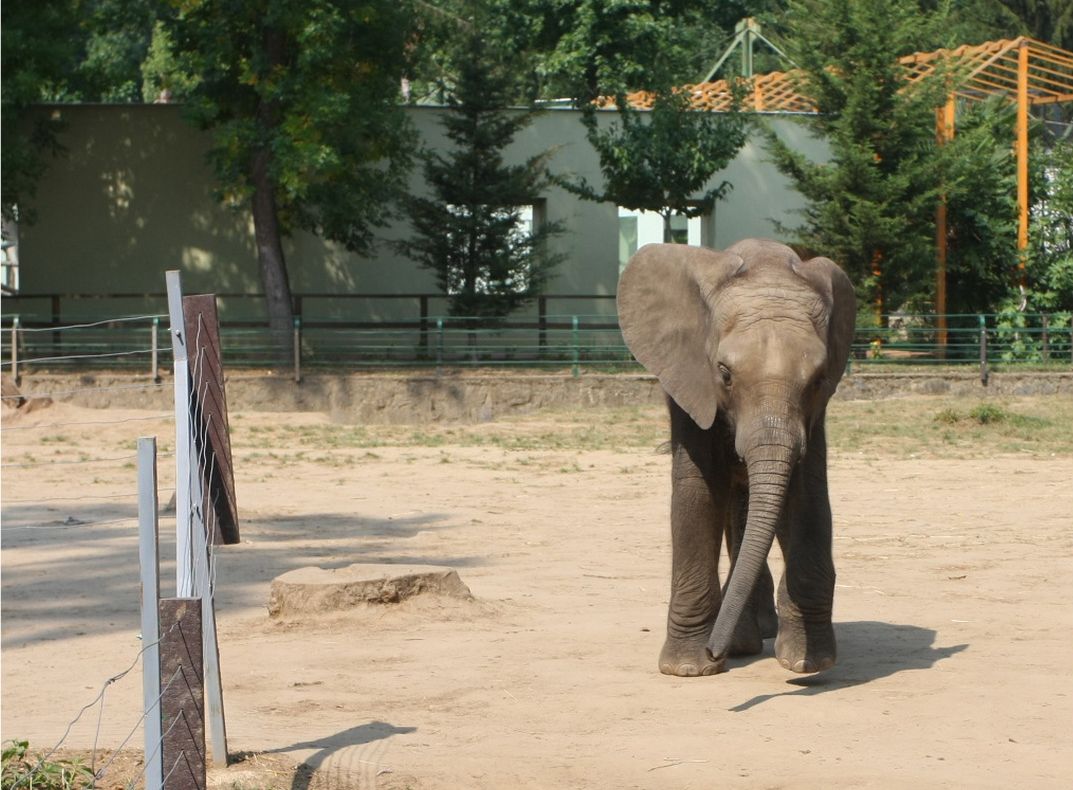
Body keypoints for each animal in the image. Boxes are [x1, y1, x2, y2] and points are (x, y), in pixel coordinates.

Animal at [617, 238, 855, 677]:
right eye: (724, 374)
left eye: (818, 380)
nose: (714, 651)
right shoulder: (692, 382)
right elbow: (698, 491)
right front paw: (689, 669)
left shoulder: (815, 413)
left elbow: (808, 494)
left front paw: (806, 662)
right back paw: (742, 641)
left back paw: (750, 636)